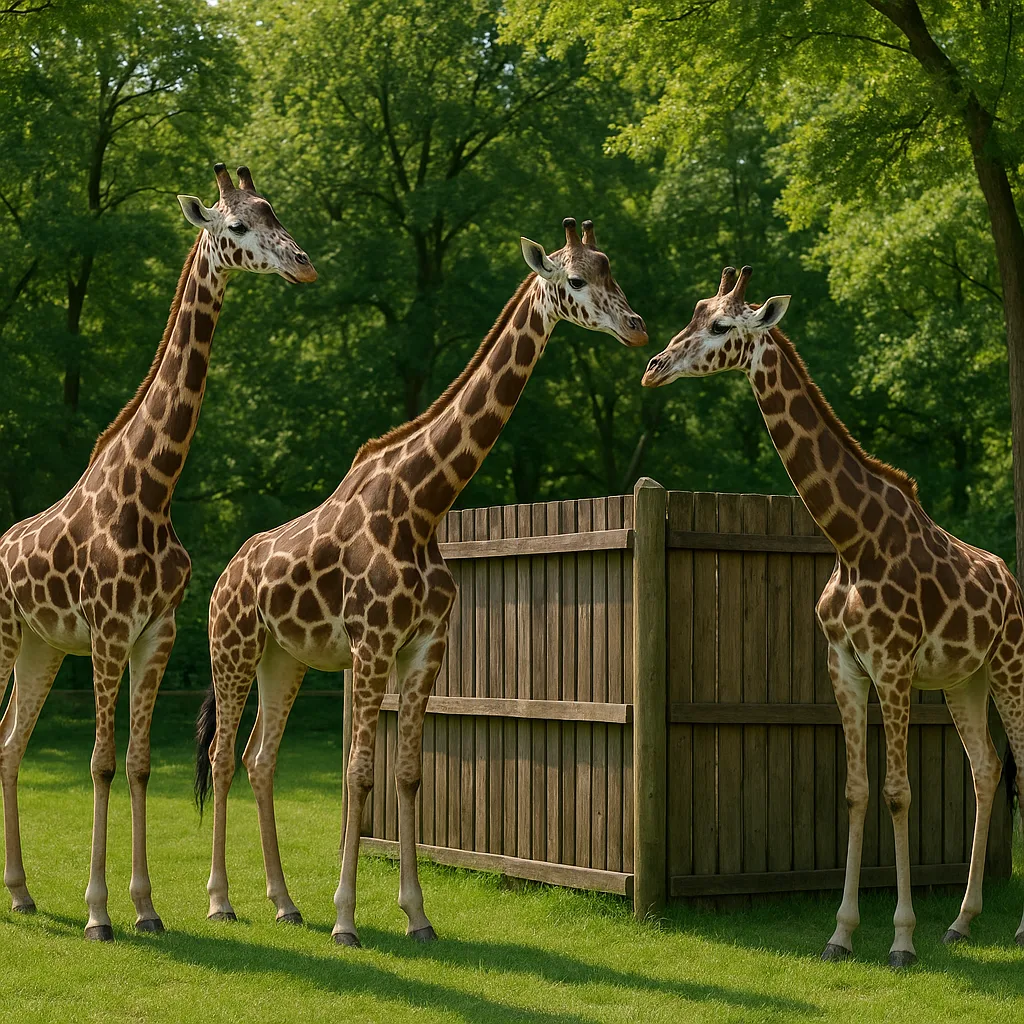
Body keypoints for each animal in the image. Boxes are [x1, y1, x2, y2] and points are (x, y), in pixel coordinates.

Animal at [0, 163, 316, 940]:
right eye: (236, 225)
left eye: (275, 211)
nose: (303, 264)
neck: (151, 490)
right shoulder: (111, 632)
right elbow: (101, 762)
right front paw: (98, 913)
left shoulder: (157, 633)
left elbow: (140, 763)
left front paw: (144, 908)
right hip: (7, 634)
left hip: (41, 646)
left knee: (10, 744)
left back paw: (20, 893)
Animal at [194, 217, 647, 945]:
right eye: (576, 279)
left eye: (614, 270)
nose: (635, 327)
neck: (423, 502)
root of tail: (224, 575)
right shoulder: (373, 644)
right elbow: (358, 773)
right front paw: (346, 918)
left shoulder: (427, 647)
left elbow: (407, 774)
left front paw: (416, 914)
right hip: (231, 647)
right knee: (220, 757)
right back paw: (221, 901)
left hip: (284, 658)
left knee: (260, 758)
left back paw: (285, 903)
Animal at [641, 265, 1024, 967]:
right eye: (694, 312)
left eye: (721, 324)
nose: (655, 366)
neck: (854, 541)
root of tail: (1011, 581)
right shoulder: (843, 663)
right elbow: (855, 791)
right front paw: (841, 933)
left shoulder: (893, 665)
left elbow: (898, 793)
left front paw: (901, 939)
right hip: (965, 680)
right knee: (986, 770)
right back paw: (963, 921)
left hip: (1010, 668)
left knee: (1022, 770)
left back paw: (1013, 928)